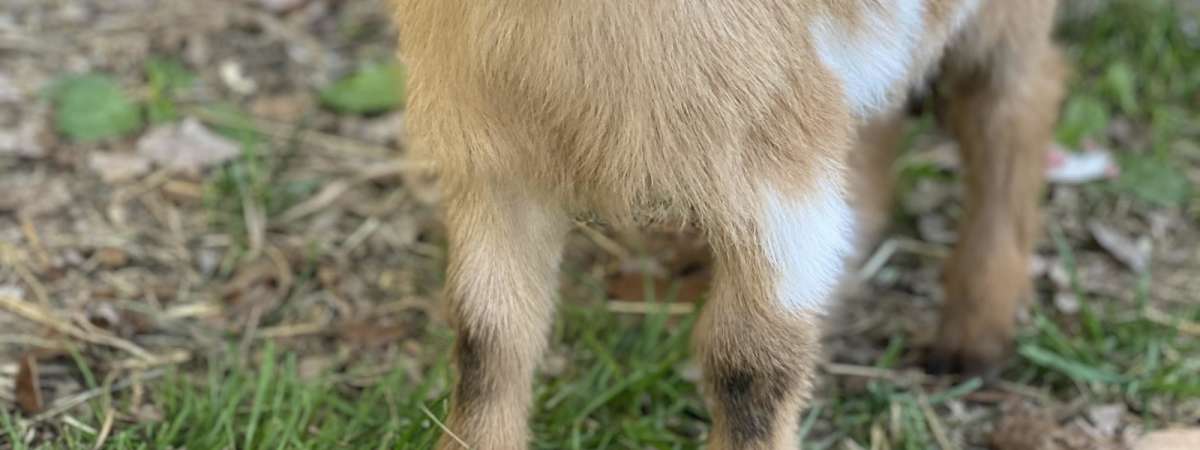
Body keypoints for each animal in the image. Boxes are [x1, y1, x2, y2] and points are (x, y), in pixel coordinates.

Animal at [391, 0, 1066, 448]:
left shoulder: (774, 172)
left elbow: (750, 367)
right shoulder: (496, 158)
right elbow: (487, 337)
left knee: (1016, 104)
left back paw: (973, 342)